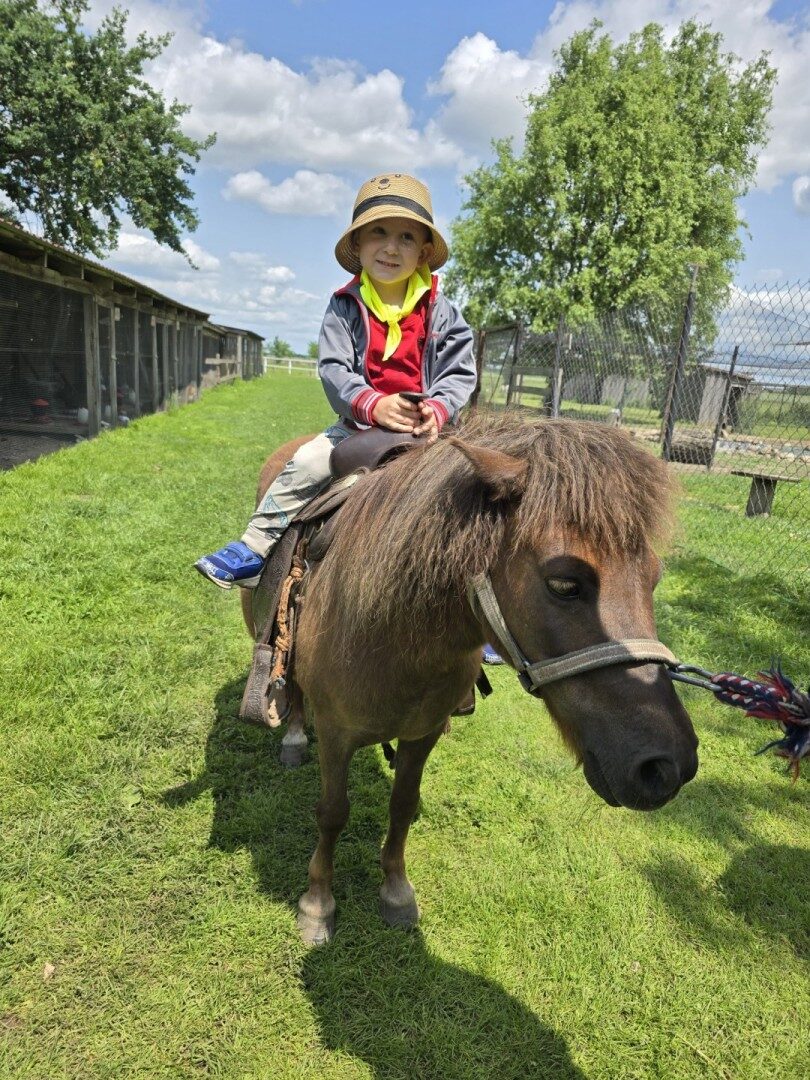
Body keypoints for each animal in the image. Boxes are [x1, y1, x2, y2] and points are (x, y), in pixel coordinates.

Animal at [241, 412, 698, 944]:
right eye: (565, 583)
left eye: (654, 578)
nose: (668, 765)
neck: (390, 635)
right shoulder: (337, 735)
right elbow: (332, 814)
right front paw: (317, 905)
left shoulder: (422, 734)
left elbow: (403, 805)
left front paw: (395, 892)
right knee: (292, 690)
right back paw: (293, 737)